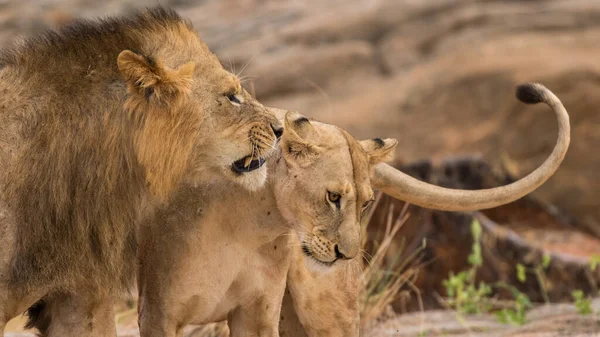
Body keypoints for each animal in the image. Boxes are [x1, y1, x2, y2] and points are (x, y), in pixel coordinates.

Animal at [138, 82, 568, 336]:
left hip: (326, 310)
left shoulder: (257, 313)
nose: (348, 255)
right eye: (332, 197)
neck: (245, 218)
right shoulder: (158, 312)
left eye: (366, 203)